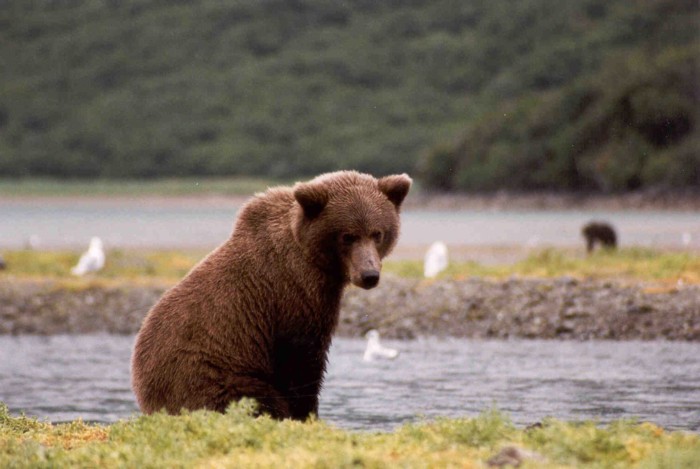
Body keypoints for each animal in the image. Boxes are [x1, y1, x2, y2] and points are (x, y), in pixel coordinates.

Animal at [131, 171, 410, 420]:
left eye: (377, 233)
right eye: (347, 236)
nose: (369, 274)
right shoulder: (293, 294)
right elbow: (302, 361)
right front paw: (306, 415)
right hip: (213, 376)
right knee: (254, 398)